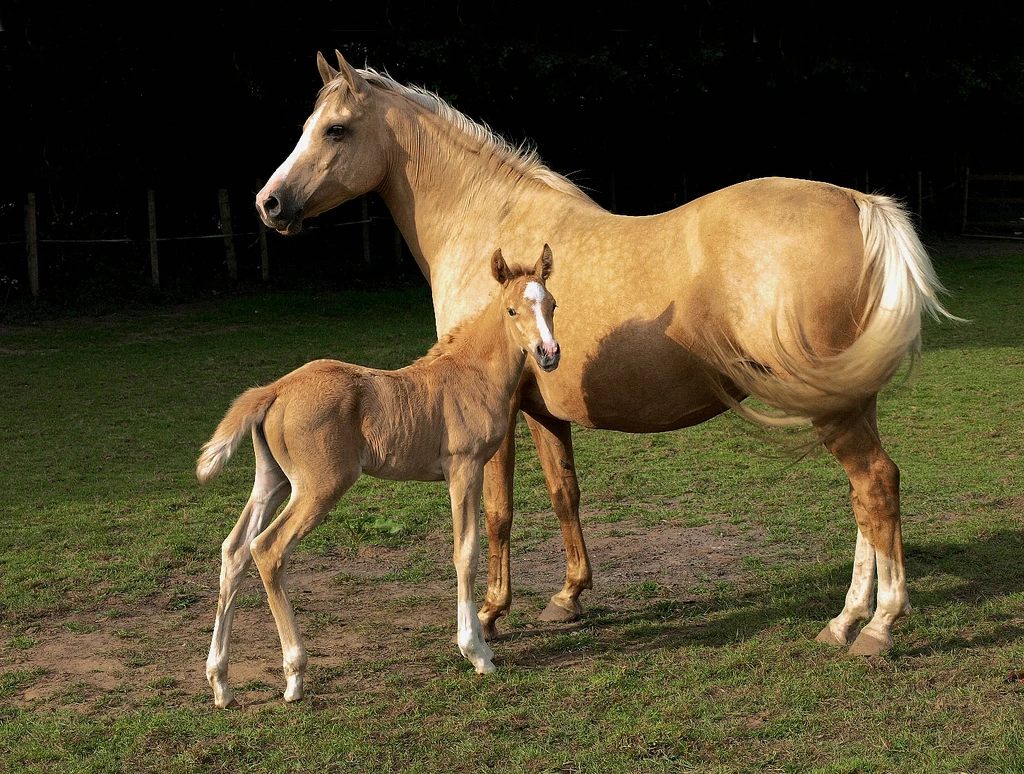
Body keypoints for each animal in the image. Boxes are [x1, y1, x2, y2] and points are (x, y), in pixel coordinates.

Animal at [197, 246, 560, 708]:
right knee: (267, 549)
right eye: (512, 309)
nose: (549, 352)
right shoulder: (464, 467)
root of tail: (274, 389)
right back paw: (295, 675)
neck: (471, 374)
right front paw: (477, 652)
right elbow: (466, 552)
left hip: (273, 480)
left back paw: (221, 683)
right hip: (320, 485)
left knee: (235, 551)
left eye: (552, 305)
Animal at [255, 50, 958, 659]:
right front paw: (568, 597)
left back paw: (877, 628)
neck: (489, 223)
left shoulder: (496, 420)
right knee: (866, 501)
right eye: (306, 126)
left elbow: (497, 513)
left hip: (834, 407)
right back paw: (846, 620)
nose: (270, 203)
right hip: (846, 400)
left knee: (876, 486)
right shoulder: (543, 410)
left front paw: (491, 615)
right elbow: (564, 493)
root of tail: (857, 203)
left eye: (336, 129)